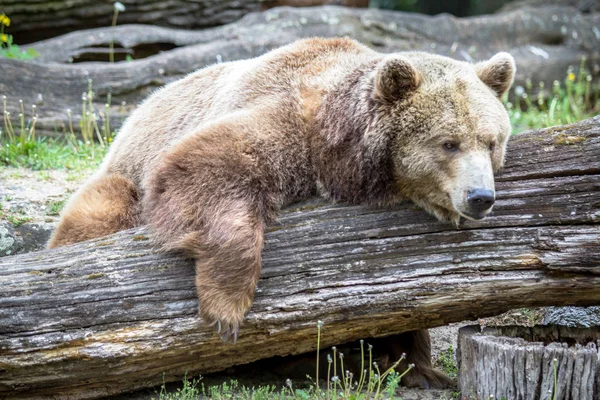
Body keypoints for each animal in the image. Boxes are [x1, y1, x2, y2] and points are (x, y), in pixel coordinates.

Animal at [48, 36, 516, 388]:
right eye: (449, 143)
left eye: (491, 141)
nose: (480, 196)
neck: (340, 151)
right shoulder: (289, 117)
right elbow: (207, 164)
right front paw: (227, 308)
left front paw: (416, 364)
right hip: (121, 178)